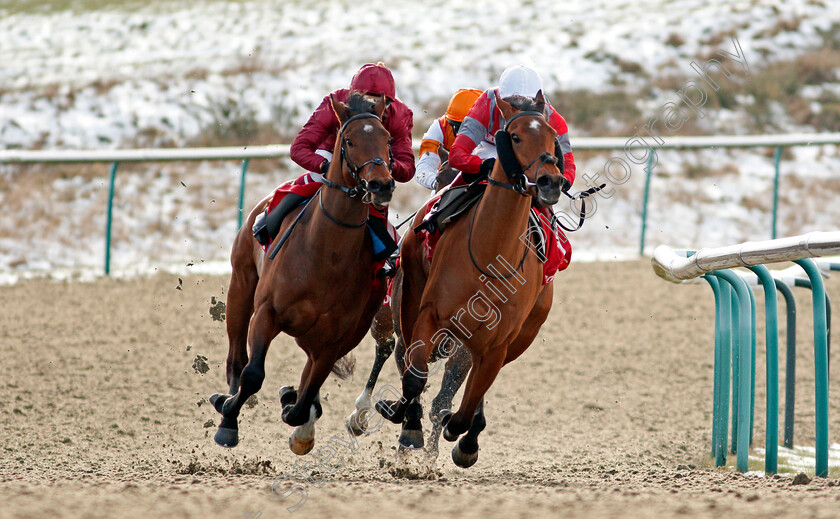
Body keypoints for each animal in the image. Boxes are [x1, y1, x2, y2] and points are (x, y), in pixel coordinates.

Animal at [208, 93, 396, 456]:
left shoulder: (334, 339)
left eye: (388, 139)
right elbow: (253, 375)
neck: (326, 251)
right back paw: (227, 399)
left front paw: (293, 407)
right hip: (242, 283)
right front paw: (228, 423)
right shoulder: (267, 312)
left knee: (308, 379)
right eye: (348, 141)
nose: (381, 184)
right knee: (237, 357)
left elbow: (304, 398)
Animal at [374, 90, 564, 468]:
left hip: (518, 337)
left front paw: (461, 436)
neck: (492, 253)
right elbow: (414, 380)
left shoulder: (497, 344)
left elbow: (466, 401)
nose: (550, 181)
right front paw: (406, 423)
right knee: (408, 361)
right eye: (515, 136)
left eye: (553, 136)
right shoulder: (430, 317)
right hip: (409, 307)